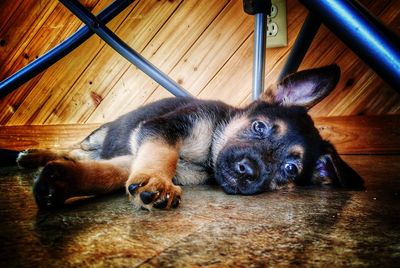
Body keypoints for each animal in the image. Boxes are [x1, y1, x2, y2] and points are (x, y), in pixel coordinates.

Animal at [17, 64, 362, 209]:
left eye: (290, 169)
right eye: (259, 127)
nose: (247, 171)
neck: (208, 154)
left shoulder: (134, 158)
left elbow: (108, 175)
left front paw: (61, 183)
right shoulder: (163, 130)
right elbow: (162, 156)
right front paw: (158, 181)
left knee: (78, 154)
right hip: (98, 134)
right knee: (73, 145)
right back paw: (34, 153)